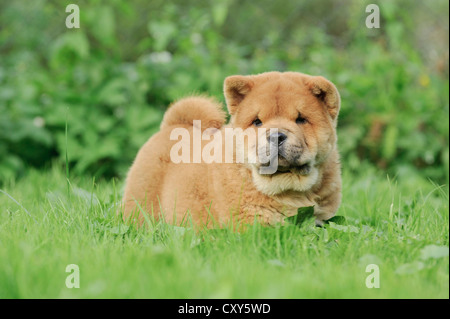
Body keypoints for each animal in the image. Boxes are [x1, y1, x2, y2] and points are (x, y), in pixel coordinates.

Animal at [123, 71, 342, 229]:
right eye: (257, 122)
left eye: (301, 119)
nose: (275, 136)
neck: (288, 187)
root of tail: (173, 124)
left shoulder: (322, 216)